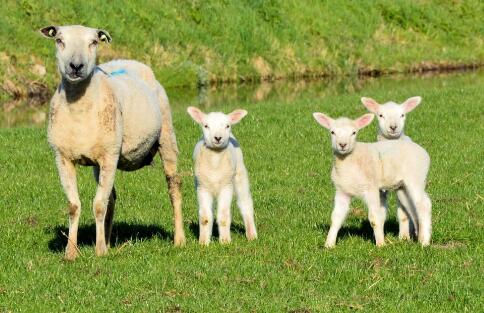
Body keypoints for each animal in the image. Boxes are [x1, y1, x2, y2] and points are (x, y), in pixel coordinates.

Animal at [40, 24, 185, 260]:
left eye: (93, 42)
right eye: (59, 40)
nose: (76, 66)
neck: (78, 108)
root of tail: (130, 61)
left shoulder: (109, 155)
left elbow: (98, 205)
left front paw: (99, 251)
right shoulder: (62, 157)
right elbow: (74, 205)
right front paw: (71, 252)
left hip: (166, 137)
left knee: (174, 187)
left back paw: (179, 240)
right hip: (102, 160)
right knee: (112, 198)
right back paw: (107, 240)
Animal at [187, 106, 260, 245]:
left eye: (227, 125)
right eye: (206, 125)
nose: (218, 137)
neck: (215, 165)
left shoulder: (227, 187)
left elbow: (224, 217)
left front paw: (225, 241)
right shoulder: (202, 188)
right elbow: (205, 217)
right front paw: (203, 242)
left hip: (240, 174)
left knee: (245, 203)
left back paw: (252, 235)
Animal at [312, 111, 432, 246]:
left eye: (354, 132)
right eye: (332, 132)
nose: (342, 145)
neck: (350, 160)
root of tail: (423, 151)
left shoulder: (371, 188)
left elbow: (375, 218)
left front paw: (381, 244)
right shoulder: (342, 191)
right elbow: (336, 218)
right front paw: (329, 244)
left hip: (416, 178)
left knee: (424, 204)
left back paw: (424, 242)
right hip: (402, 187)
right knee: (412, 207)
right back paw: (417, 236)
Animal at [362, 96, 422, 238]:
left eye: (402, 115)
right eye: (380, 115)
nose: (393, 127)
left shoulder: (401, 185)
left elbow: (403, 213)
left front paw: (403, 237)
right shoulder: (380, 189)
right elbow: (380, 214)